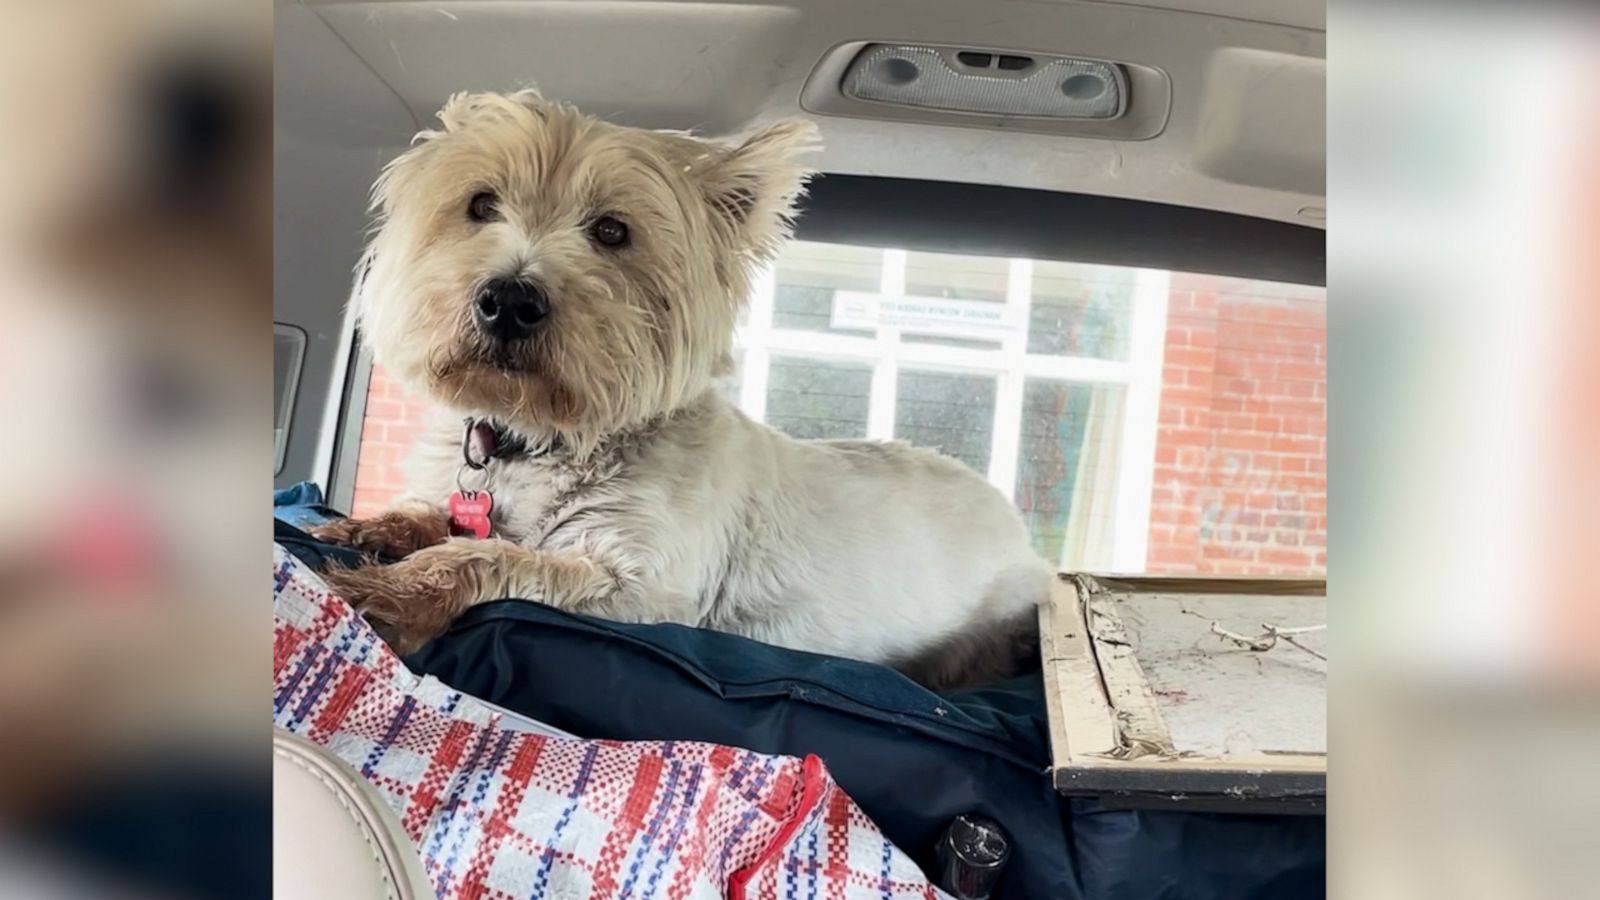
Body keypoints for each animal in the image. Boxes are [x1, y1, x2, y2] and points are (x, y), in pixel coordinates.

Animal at [316, 91, 1056, 685]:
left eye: (613, 231)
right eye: (479, 204)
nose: (509, 301)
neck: (539, 438)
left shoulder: (643, 589)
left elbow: (492, 556)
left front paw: (391, 591)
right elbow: (435, 518)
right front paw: (368, 526)